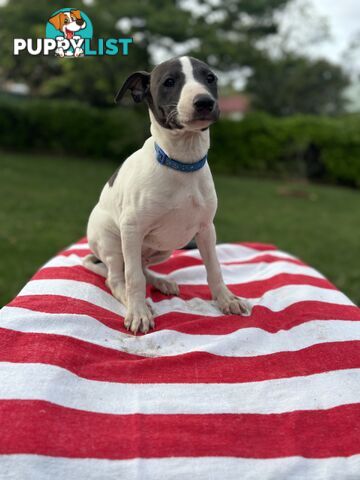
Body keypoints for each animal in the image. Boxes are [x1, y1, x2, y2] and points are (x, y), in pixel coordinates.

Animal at [83, 56, 252, 334]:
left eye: (210, 78)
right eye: (169, 82)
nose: (204, 102)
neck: (182, 163)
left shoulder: (206, 229)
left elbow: (214, 268)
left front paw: (226, 299)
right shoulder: (132, 228)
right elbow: (133, 279)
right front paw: (138, 312)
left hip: (166, 248)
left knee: (141, 267)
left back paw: (161, 282)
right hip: (113, 243)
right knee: (117, 277)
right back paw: (135, 300)